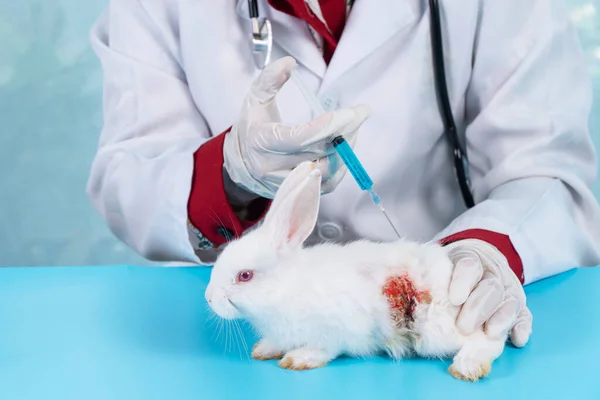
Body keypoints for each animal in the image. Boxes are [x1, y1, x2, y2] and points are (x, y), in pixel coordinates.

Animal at [205, 160, 506, 382]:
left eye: (245, 276)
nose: (208, 298)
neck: (286, 288)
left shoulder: (338, 328)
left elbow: (325, 348)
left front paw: (299, 359)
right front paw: (264, 349)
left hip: (437, 331)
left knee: (490, 341)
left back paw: (467, 366)